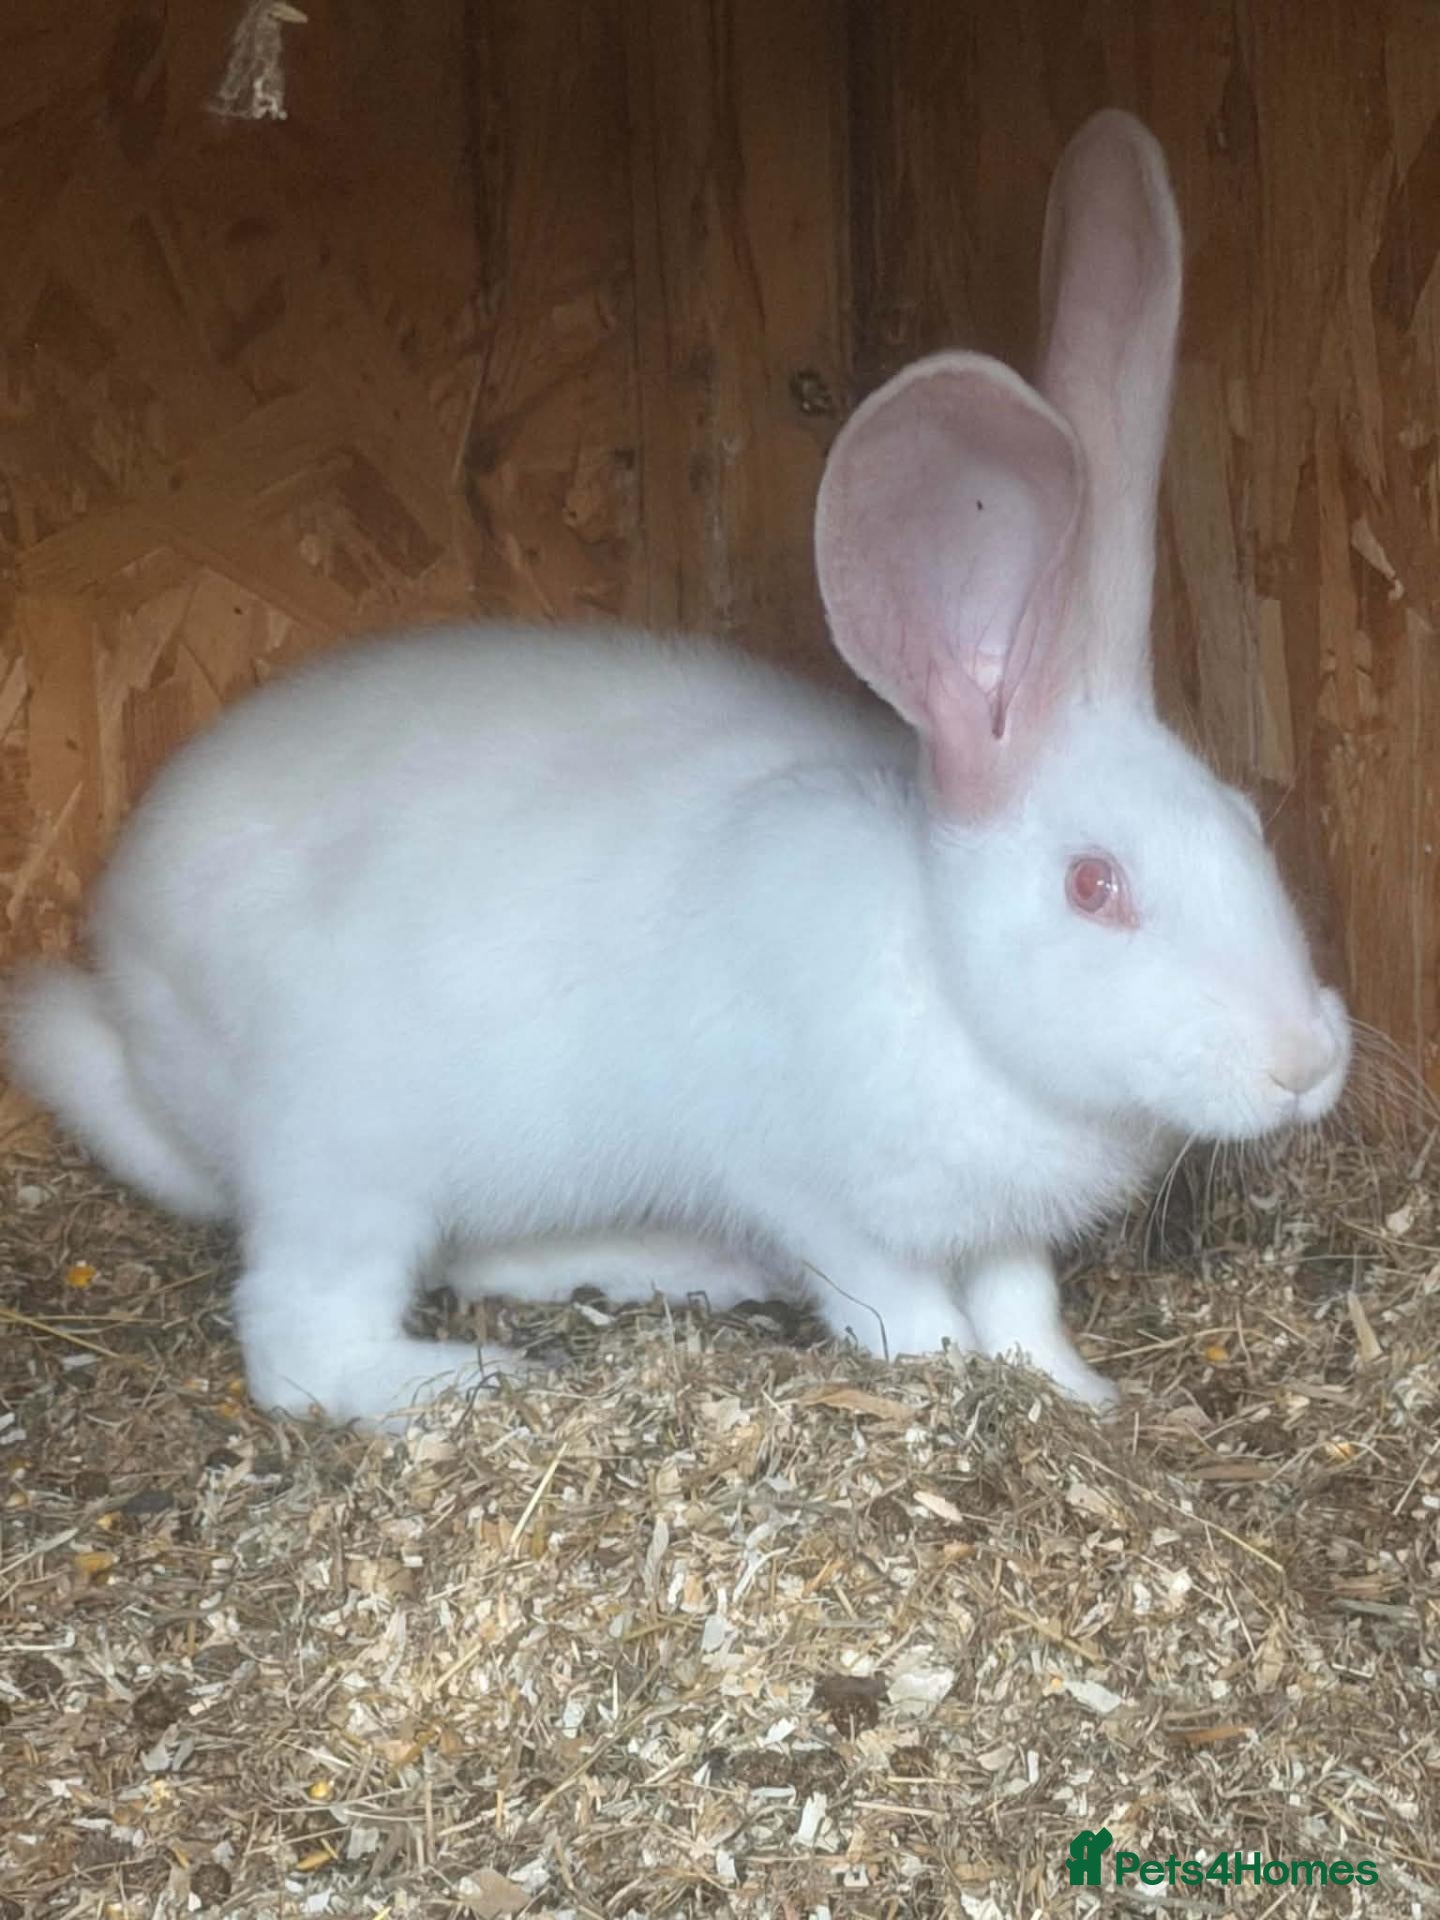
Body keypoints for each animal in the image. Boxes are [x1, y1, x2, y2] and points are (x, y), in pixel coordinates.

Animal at [5, 111, 1350, 1425]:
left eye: (1248, 824)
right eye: (1092, 885)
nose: (1303, 1065)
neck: (941, 969)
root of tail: (130, 988)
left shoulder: (1003, 1230)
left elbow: (1024, 1302)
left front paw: (1075, 1395)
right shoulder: (810, 1189)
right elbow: (901, 1306)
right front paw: (944, 1376)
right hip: (343, 1153)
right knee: (301, 1343)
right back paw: (466, 1379)